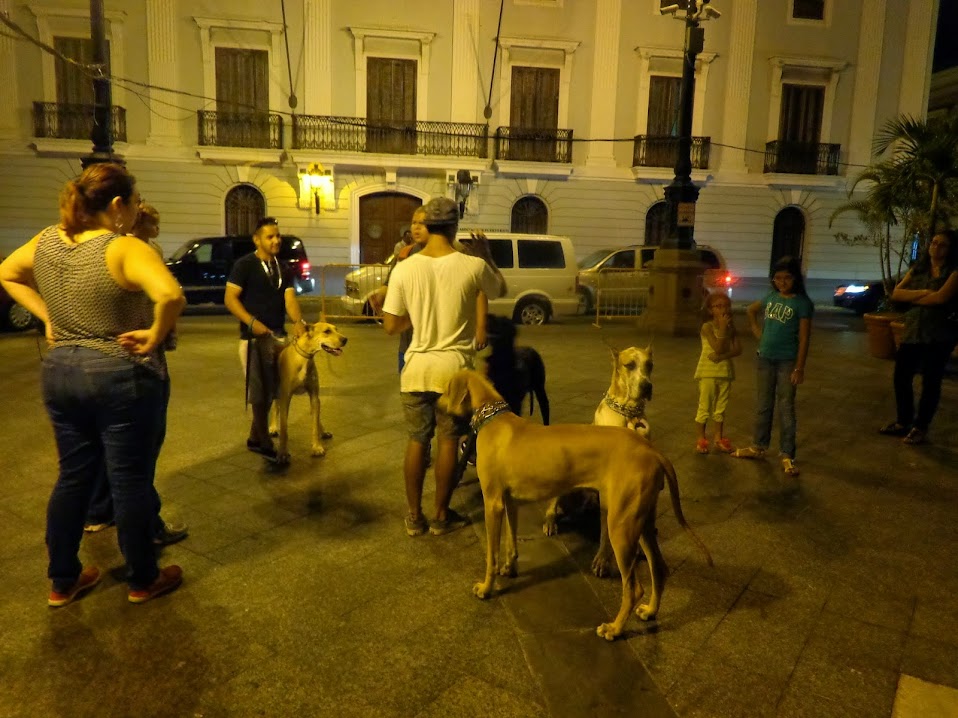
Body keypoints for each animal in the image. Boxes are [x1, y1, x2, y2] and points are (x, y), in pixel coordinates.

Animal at [274, 322, 348, 466]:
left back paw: (323, 431)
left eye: (336, 329)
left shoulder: (314, 396)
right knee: (275, 408)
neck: (304, 357)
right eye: (327, 331)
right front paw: (282, 453)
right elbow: (284, 428)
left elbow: (314, 425)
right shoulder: (285, 397)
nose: (345, 339)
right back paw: (272, 427)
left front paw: (317, 447)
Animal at [442, 372, 712, 640]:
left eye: (445, 388)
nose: (436, 405)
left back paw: (614, 629)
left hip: (620, 527)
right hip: (641, 523)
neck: (493, 417)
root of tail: (652, 451)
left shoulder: (492, 503)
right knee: (659, 569)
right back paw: (650, 611)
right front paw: (510, 568)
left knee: (634, 588)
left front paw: (486, 588)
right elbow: (511, 542)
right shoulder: (509, 501)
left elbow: (491, 555)